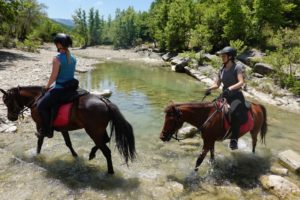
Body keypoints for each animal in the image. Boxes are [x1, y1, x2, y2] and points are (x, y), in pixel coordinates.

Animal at [0, 85, 136, 173]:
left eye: (7, 102)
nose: (10, 117)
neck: (36, 99)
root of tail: (103, 100)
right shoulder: (63, 129)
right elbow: (68, 143)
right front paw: (75, 156)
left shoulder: (40, 125)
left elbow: (40, 141)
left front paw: (37, 155)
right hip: (98, 131)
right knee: (105, 141)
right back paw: (92, 154)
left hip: (93, 132)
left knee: (106, 151)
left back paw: (110, 172)